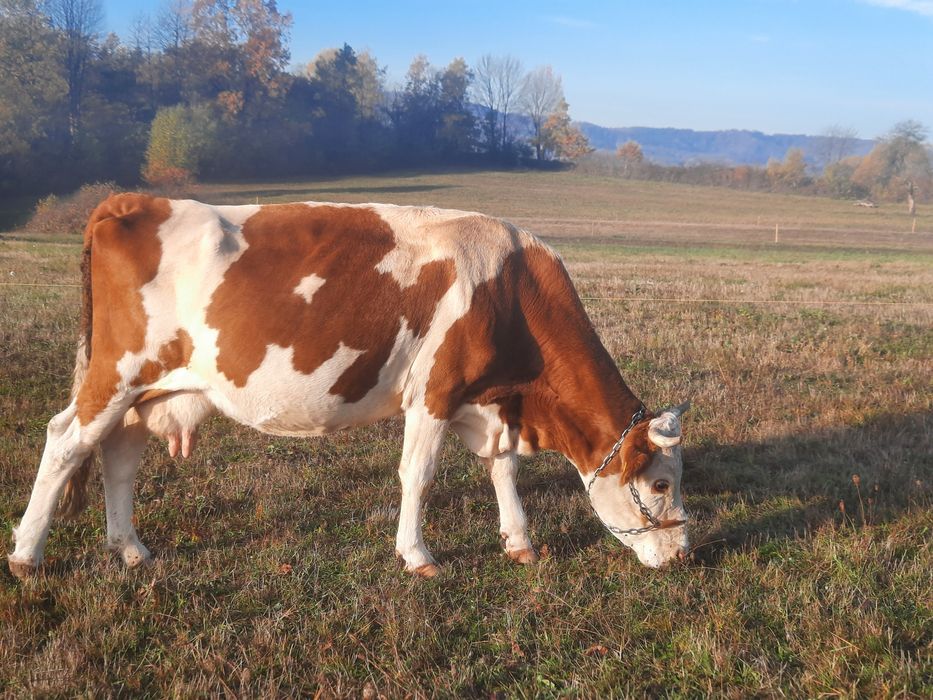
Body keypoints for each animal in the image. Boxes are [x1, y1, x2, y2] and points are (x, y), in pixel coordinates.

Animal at [9, 193, 690, 578]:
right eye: (660, 484)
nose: (686, 554)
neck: (510, 284)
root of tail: (129, 200)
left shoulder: (489, 401)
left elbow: (502, 468)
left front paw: (519, 542)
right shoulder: (434, 391)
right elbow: (419, 475)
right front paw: (418, 557)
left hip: (149, 390)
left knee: (118, 456)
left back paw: (131, 550)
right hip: (118, 373)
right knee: (65, 441)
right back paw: (26, 556)